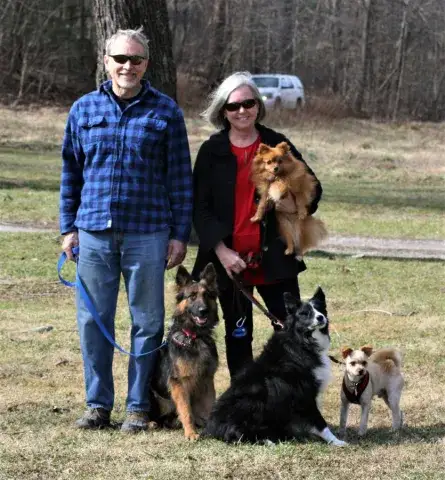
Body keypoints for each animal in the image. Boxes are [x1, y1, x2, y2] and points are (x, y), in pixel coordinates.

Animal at [149, 263, 219, 441]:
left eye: (207, 295)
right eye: (192, 296)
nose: (203, 310)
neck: (193, 337)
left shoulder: (207, 380)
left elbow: (209, 406)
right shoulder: (179, 383)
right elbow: (186, 410)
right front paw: (191, 433)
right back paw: (151, 422)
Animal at [202, 287, 347, 446]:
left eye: (320, 309)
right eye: (305, 313)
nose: (321, 317)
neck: (302, 341)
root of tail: (211, 428)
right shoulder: (305, 392)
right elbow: (320, 422)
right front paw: (336, 441)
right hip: (252, 401)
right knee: (237, 434)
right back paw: (268, 440)